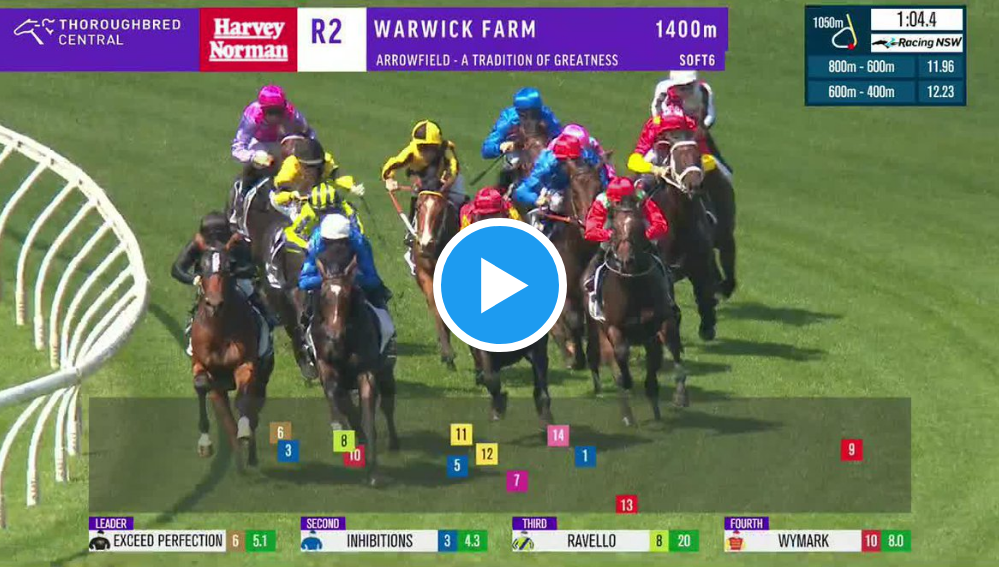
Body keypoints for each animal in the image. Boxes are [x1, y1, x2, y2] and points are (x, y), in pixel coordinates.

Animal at [190, 233, 274, 470]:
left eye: (229, 267)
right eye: (201, 267)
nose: (214, 304)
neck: (219, 328)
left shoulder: (246, 364)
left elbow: (244, 400)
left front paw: (244, 432)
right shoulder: (201, 364)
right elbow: (201, 385)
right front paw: (205, 443)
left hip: (262, 377)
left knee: (252, 409)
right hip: (220, 386)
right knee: (226, 413)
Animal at [310, 236, 400, 486]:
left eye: (347, 296)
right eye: (325, 296)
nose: (333, 336)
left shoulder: (366, 371)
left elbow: (368, 417)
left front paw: (373, 472)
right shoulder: (328, 370)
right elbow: (344, 405)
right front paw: (353, 437)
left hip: (386, 370)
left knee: (387, 405)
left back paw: (394, 442)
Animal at [409, 174, 461, 369]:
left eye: (441, 210)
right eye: (418, 207)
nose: (425, 244)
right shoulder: (426, 276)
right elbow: (437, 308)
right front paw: (447, 354)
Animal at [585, 199, 679, 426]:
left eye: (638, 228)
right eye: (615, 230)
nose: (627, 260)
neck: (633, 285)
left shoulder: (661, 321)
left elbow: (669, 348)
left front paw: (679, 396)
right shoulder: (613, 327)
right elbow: (621, 356)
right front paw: (628, 381)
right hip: (600, 334)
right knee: (614, 364)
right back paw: (627, 415)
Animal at [642, 129, 720, 342]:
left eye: (698, 155)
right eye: (676, 156)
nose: (694, 185)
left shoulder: (701, 262)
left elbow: (705, 295)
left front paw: (708, 326)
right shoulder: (664, 269)